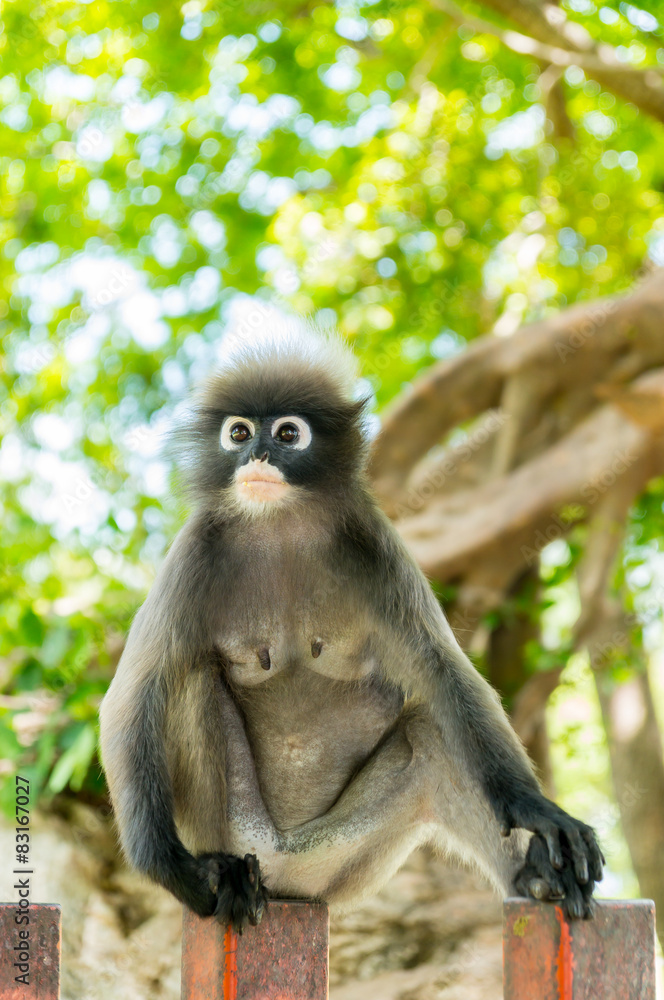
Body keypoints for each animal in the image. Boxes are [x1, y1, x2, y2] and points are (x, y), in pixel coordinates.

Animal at [99, 320, 603, 932]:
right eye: (239, 433)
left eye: (287, 433)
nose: (258, 453)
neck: (281, 526)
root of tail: (287, 884)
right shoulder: (194, 550)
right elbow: (133, 694)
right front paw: (170, 866)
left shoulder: (375, 546)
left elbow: (446, 674)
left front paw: (537, 809)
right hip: (246, 833)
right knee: (191, 682)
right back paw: (227, 874)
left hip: (343, 865)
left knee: (429, 732)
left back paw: (536, 877)